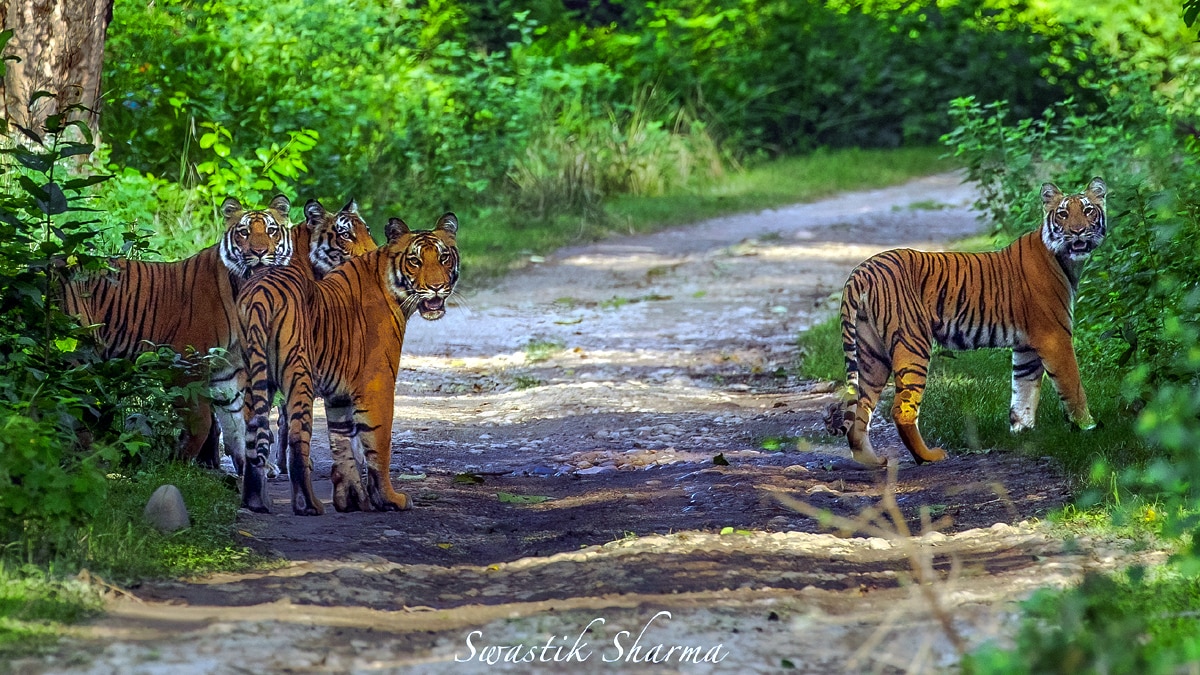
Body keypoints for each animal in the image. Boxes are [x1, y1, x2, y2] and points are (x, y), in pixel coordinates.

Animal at [62, 195, 294, 464]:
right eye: (244, 232)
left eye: (271, 231)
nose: (259, 252)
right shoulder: (186, 363)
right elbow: (201, 421)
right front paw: (178, 462)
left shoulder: (228, 371)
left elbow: (238, 426)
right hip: (74, 354)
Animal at [237, 213, 460, 514]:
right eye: (415, 261)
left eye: (444, 258)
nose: (436, 287)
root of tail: (260, 291)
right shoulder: (378, 384)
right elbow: (378, 444)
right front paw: (388, 499)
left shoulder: (338, 395)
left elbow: (342, 444)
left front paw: (350, 500)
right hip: (299, 375)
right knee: (296, 441)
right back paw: (309, 505)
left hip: (253, 376)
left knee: (252, 436)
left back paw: (255, 501)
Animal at [824, 177, 1107, 467]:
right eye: (1063, 214)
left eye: (1088, 211)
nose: (1078, 231)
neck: (1066, 262)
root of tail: (863, 269)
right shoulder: (1055, 337)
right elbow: (1073, 386)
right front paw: (1087, 427)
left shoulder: (1026, 347)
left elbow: (1024, 389)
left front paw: (1023, 431)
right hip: (912, 343)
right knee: (901, 408)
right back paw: (928, 456)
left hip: (871, 354)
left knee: (862, 407)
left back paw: (872, 460)